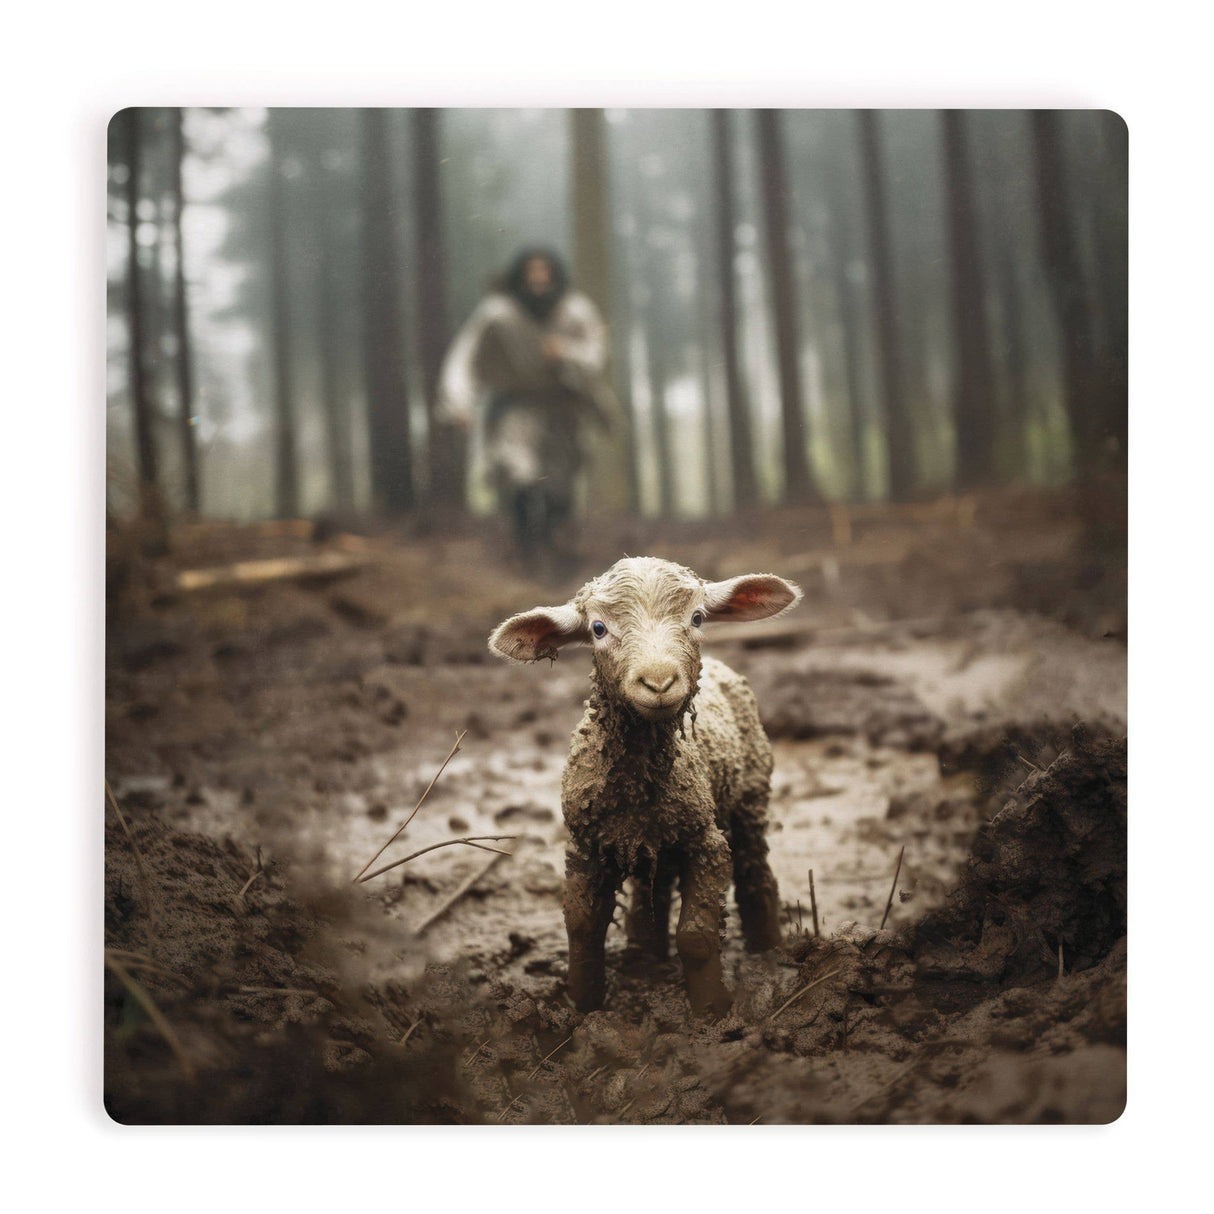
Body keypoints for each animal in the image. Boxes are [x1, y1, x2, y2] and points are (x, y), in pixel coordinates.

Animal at [489, 556, 801, 1015]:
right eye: (598, 628)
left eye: (697, 617)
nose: (658, 683)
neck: (637, 785)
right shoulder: (586, 844)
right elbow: (581, 926)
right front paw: (582, 1005)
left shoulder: (706, 841)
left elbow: (696, 936)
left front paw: (712, 1010)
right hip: (656, 836)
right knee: (653, 888)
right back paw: (644, 955)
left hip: (750, 797)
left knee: (754, 869)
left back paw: (768, 950)